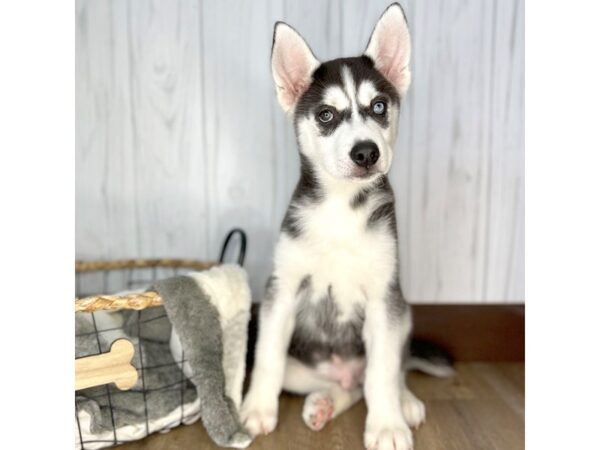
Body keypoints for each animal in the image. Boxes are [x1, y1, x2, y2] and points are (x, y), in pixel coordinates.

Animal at [241, 4, 452, 450]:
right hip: (303, 367)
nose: (366, 152)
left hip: (403, 312)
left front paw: (387, 425)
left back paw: (404, 403)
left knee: (383, 373)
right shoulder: (282, 290)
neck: (340, 208)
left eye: (379, 107)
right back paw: (323, 403)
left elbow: (382, 373)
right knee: (344, 386)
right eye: (326, 115)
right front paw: (255, 411)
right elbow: (267, 358)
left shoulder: (383, 298)